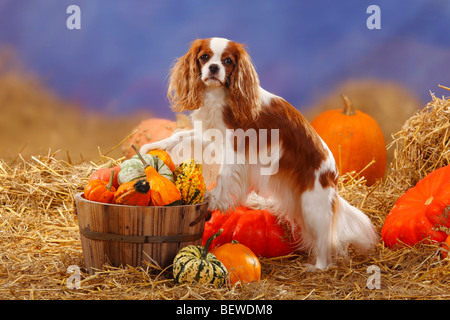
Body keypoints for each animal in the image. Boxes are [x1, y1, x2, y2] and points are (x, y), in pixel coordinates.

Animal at [140, 37, 376, 270]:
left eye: (227, 61)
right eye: (204, 57)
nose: (214, 68)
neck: (218, 96)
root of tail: (333, 177)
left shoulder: (235, 149)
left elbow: (223, 176)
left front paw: (213, 200)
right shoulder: (209, 135)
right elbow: (179, 136)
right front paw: (151, 147)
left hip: (312, 204)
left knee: (326, 239)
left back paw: (318, 267)